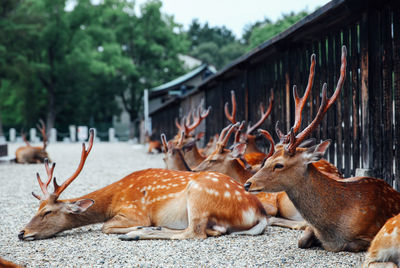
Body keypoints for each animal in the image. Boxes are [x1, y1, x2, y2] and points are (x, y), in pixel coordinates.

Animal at [19, 127, 268, 241]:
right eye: (37, 208)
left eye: (47, 212)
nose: (22, 232)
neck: (115, 197)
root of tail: (260, 212)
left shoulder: (134, 212)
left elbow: (105, 226)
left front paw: (136, 229)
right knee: (213, 230)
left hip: (199, 196)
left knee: (193, 233)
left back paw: (137, 234)